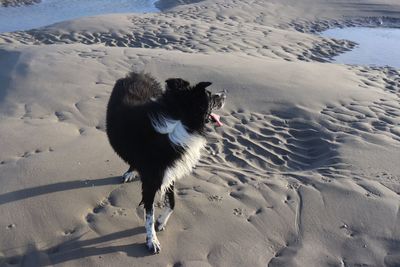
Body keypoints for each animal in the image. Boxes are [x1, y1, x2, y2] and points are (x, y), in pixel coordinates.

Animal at [106, 72, 225, 254]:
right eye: (211, 96)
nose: (224, 94)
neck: (180, 120)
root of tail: (136, 74)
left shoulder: (169, 172)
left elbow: (172, 203)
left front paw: (161, 222)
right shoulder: (151, 180)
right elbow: (149, 214)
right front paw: (152, 241)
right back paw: (131, 171)